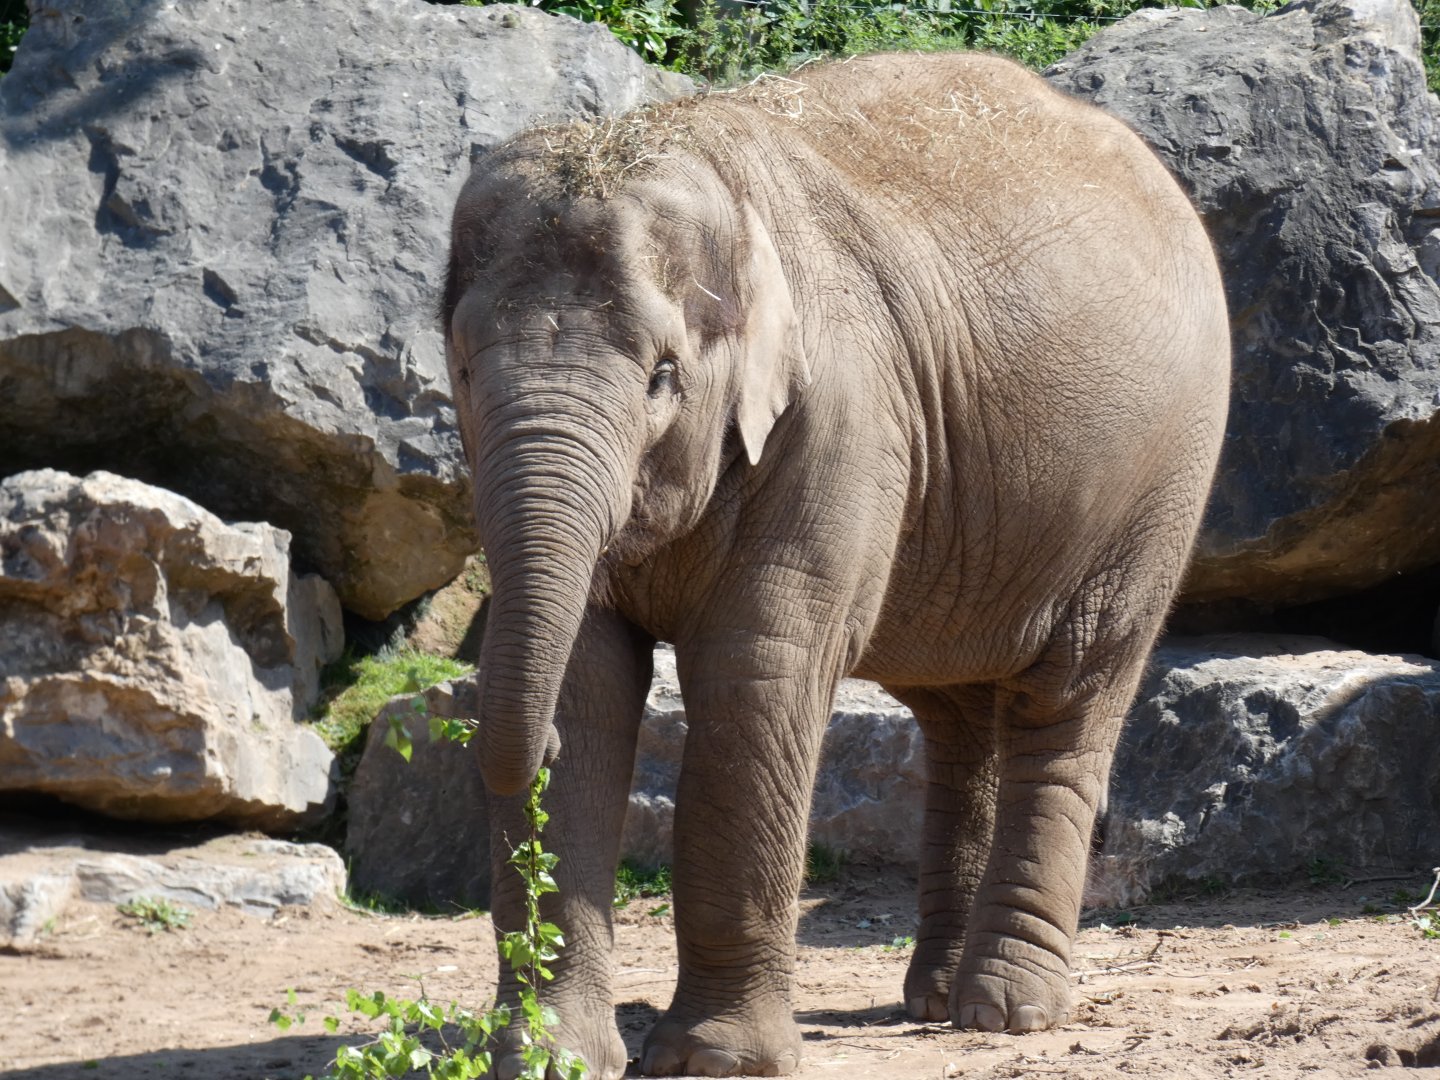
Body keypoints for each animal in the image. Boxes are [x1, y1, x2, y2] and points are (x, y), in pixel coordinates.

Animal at [440, 51, 1229, 1079]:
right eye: (459, 370)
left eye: (662, 375)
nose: (529, 754)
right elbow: (585, 680)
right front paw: (549, 1059)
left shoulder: (839, 415)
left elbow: (757, 672)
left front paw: (718, 1063)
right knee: (959, 718)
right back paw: (933, 999)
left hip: (1157, 487)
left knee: (1069, 697)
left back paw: (1004, 1013)